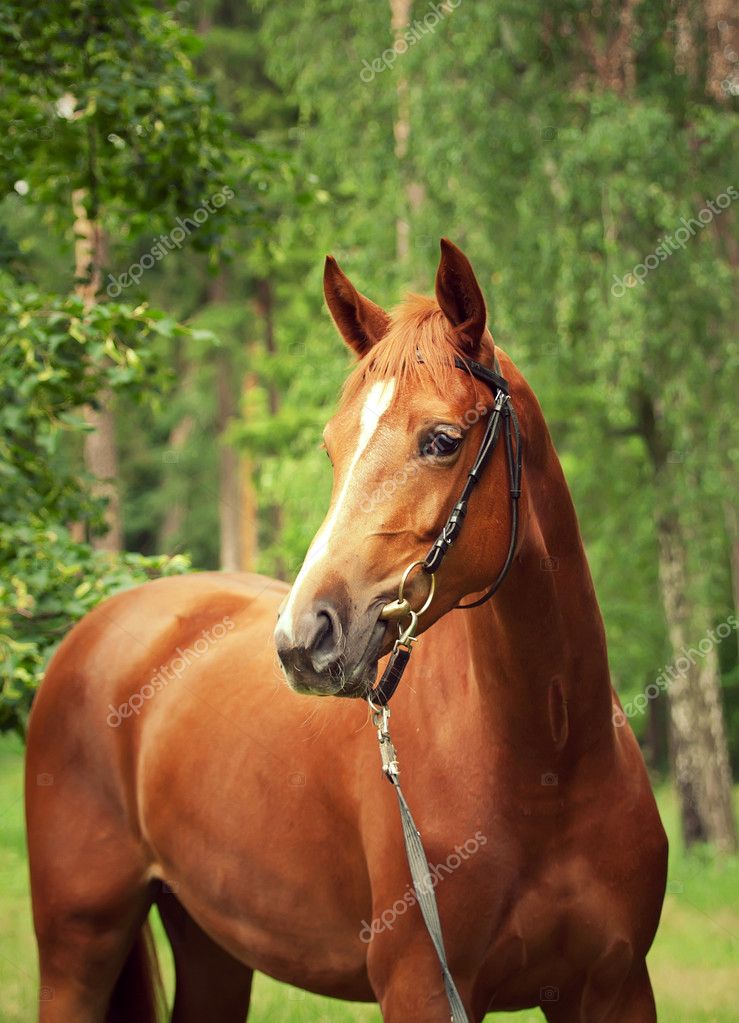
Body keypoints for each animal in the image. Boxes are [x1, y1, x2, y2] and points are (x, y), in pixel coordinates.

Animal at [25, 238, 667, 1022]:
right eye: (332, 449)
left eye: (442, 440)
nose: (304, 639)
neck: (550, 763)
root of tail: (99, 625)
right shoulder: (423, 988)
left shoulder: (613, 987)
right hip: (77, 946)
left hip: (213, 943)